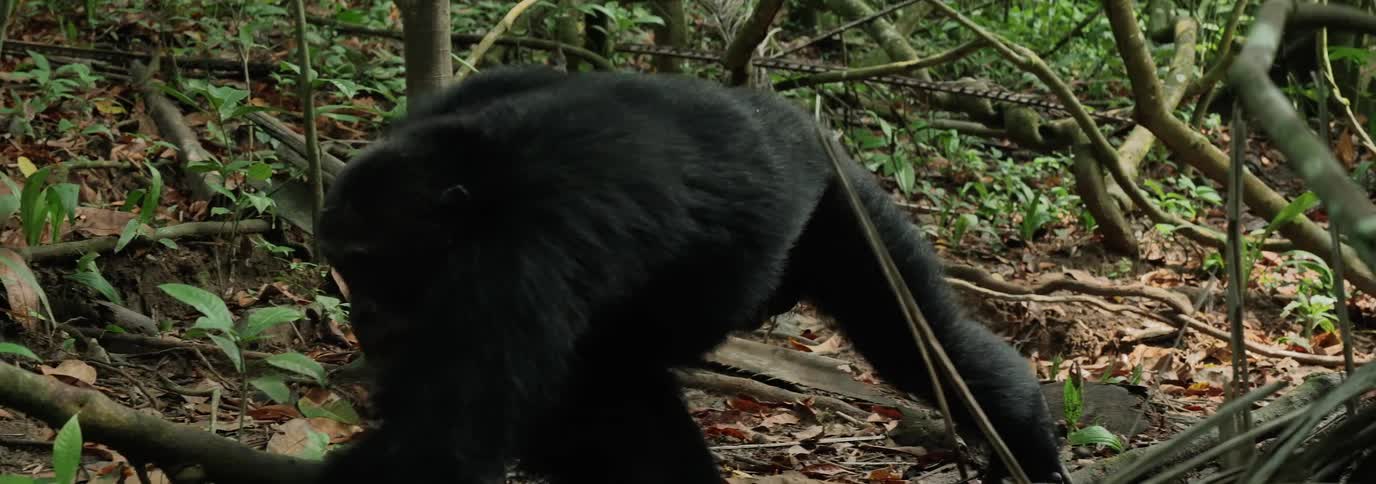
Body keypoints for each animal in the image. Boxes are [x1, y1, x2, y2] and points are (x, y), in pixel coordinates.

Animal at [315, 64, 1065, 484]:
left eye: (367, 265)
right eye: (344, 267)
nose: (363, 319)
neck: (479, 174)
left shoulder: (525, 252)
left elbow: (442, 444)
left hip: (848, 212)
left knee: (917, 342)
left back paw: (1023, 431)